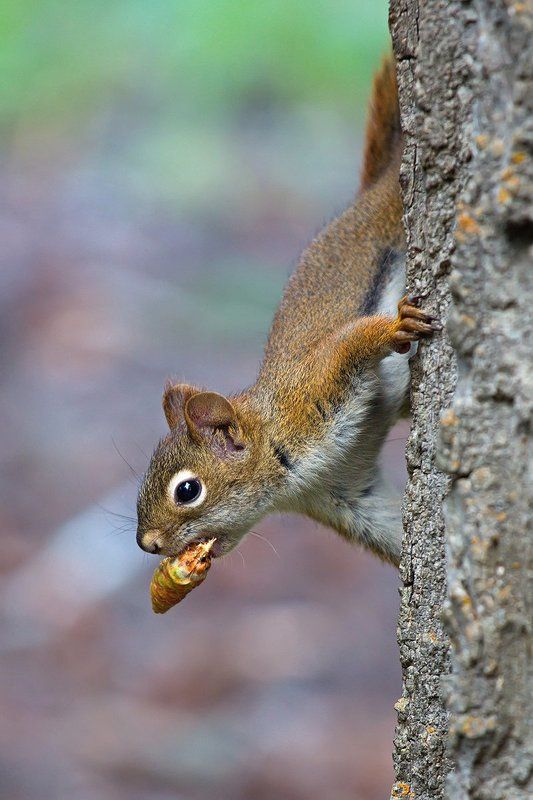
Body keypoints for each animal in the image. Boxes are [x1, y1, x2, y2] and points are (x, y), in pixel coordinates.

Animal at [136, 56, 436, 568]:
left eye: (188, 490)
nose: (147, 543)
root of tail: (374, 189)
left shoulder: (314, 388)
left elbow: (350, 343)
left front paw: (397, 324)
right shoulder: (342, 495)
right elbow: (388, 528)